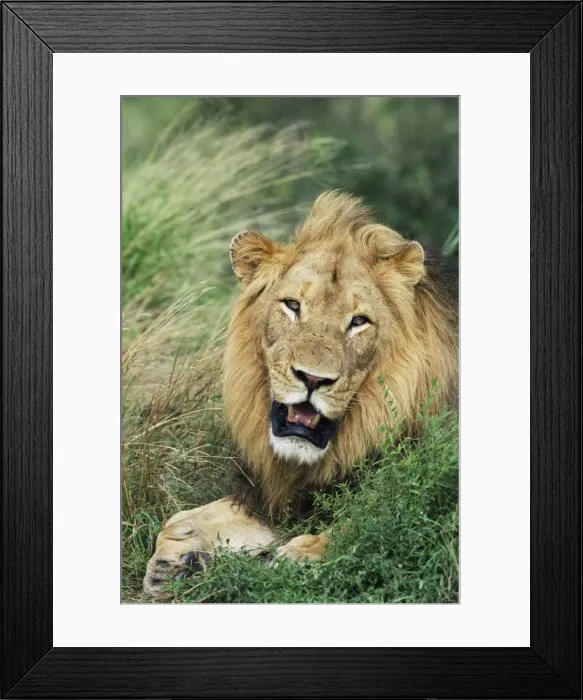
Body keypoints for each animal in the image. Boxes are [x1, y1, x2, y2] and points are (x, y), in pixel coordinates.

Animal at [143, 191, 458, 596]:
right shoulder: (277, 497)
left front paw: (302, 556)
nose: (312, 379)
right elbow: (180, 517)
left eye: (359, 321)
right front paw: (178, 556)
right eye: (293, 305)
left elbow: (370, 523)